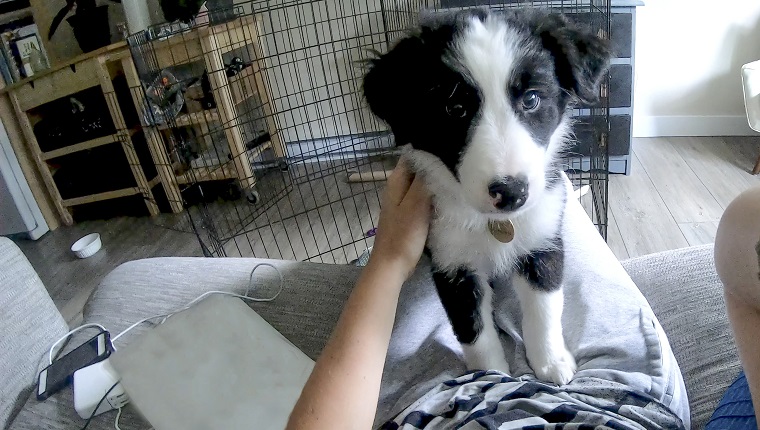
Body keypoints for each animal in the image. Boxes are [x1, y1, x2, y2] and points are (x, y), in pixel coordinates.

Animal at [364, 8, 612, 384]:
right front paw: (491, 375)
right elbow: (473, 329)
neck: (493, 223)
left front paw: (551, 361)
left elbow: (544, 309)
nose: (511, 192)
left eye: (531, 99)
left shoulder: (543, 239)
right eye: (454, 108)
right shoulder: (452, 261)